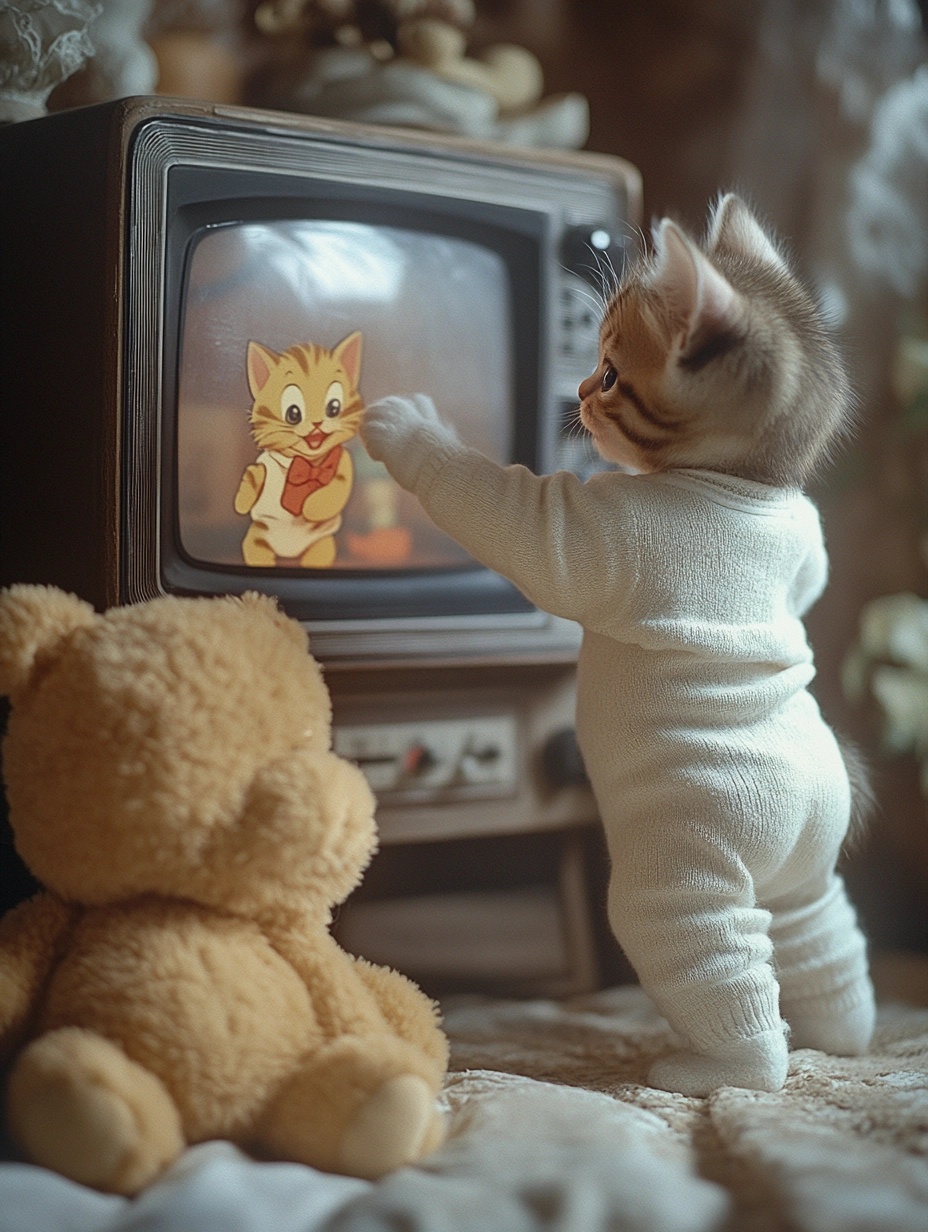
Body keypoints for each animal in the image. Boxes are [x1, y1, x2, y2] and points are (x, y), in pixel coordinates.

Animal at [232, 335, 364, 569]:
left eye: (334, 407)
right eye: (293, 413)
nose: (317, 423)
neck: (307, 462)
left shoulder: (344, 462)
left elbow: (337, 490)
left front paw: (311, 506)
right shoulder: (266, 459)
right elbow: (254, 479)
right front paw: (248, 486)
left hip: (322, 544)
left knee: (319, 555)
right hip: (257, 537)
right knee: (256, 551)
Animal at [362, 194, 877, 1098]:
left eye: (608, 374)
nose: (574, 391)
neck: (744, 486)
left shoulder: (608, 532)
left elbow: (514, 517)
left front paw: (410, 429)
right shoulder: (802, 527)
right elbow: (809, 576)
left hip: (680, 878)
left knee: (715, 964)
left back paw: (722, 1066)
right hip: (812, 861)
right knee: (818, 928)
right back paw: (842, 1037)